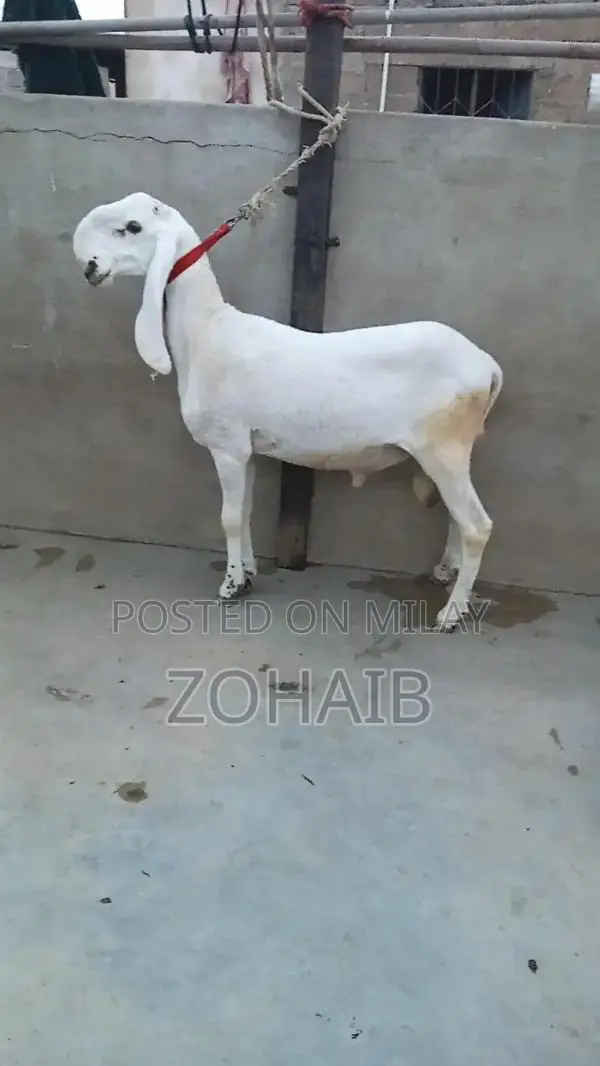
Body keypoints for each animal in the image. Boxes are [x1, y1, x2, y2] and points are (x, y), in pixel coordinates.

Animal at [73, 192, 503, 632]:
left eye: (133, 227)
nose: (90, 267)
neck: (206, 331)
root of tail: (487, 367)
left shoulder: (227, 446)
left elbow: (229, 516)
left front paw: (231, 586)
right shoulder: (246, 450)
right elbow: (245, 511)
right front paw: (247, 572)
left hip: (443, 447)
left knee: (477, 526)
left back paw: (451, 614)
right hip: (453, 453)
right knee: (458, 518)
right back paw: (445, 573)